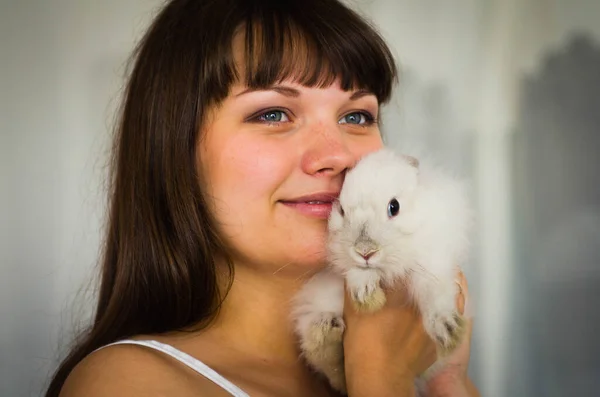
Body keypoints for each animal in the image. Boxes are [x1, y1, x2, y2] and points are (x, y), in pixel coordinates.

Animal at [290, 146, 474, 392]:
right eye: (341, 210)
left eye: (394, 207)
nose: (365, 251)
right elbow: (355, 272)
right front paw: (367, 297)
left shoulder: (432, 263)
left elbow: (434, 293)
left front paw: (449, 330)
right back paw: (326, 331)